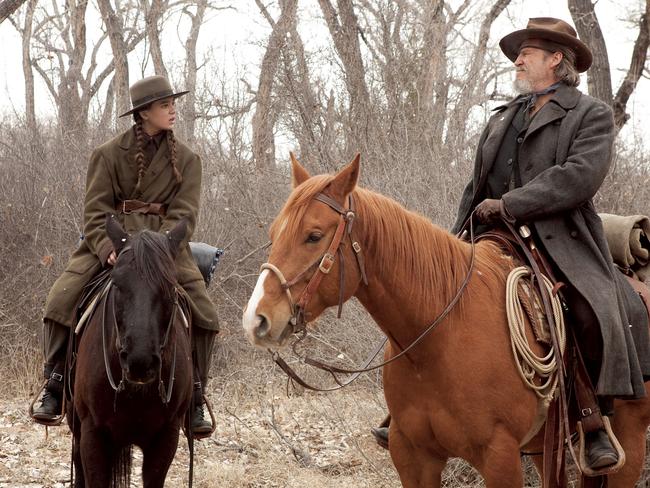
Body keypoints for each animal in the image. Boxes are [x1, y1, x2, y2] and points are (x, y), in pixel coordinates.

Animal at [242, 157, 648, 488]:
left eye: (313, 236)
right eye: (274, 234)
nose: (256, 319)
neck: (439, 341)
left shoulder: (499, 457)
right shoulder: (413, 457)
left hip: (627, 441)